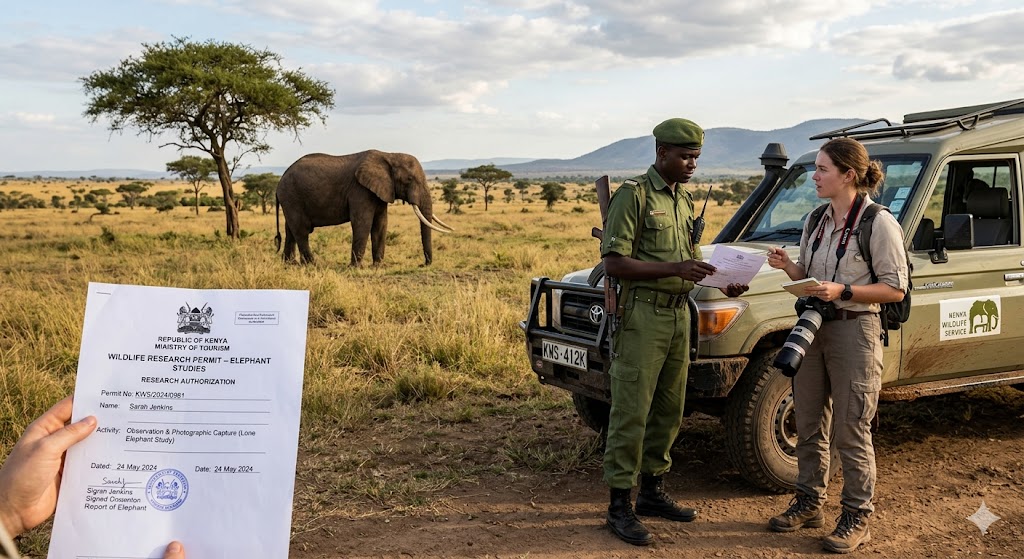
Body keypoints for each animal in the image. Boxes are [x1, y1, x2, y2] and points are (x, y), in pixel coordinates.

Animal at [275, 150, 453, 266]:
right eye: (409, 179)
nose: (424, 264)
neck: (389, 155)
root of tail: (280, 181)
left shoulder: (381, 190)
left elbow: (381, 224)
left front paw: (378, 266)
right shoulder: (360, 190)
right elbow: (363, 223)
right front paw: (356, 268)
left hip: (290, 199)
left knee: (290, 230)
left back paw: (289, 264)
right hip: (292, 196)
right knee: (301, 230)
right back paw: (312, 264)